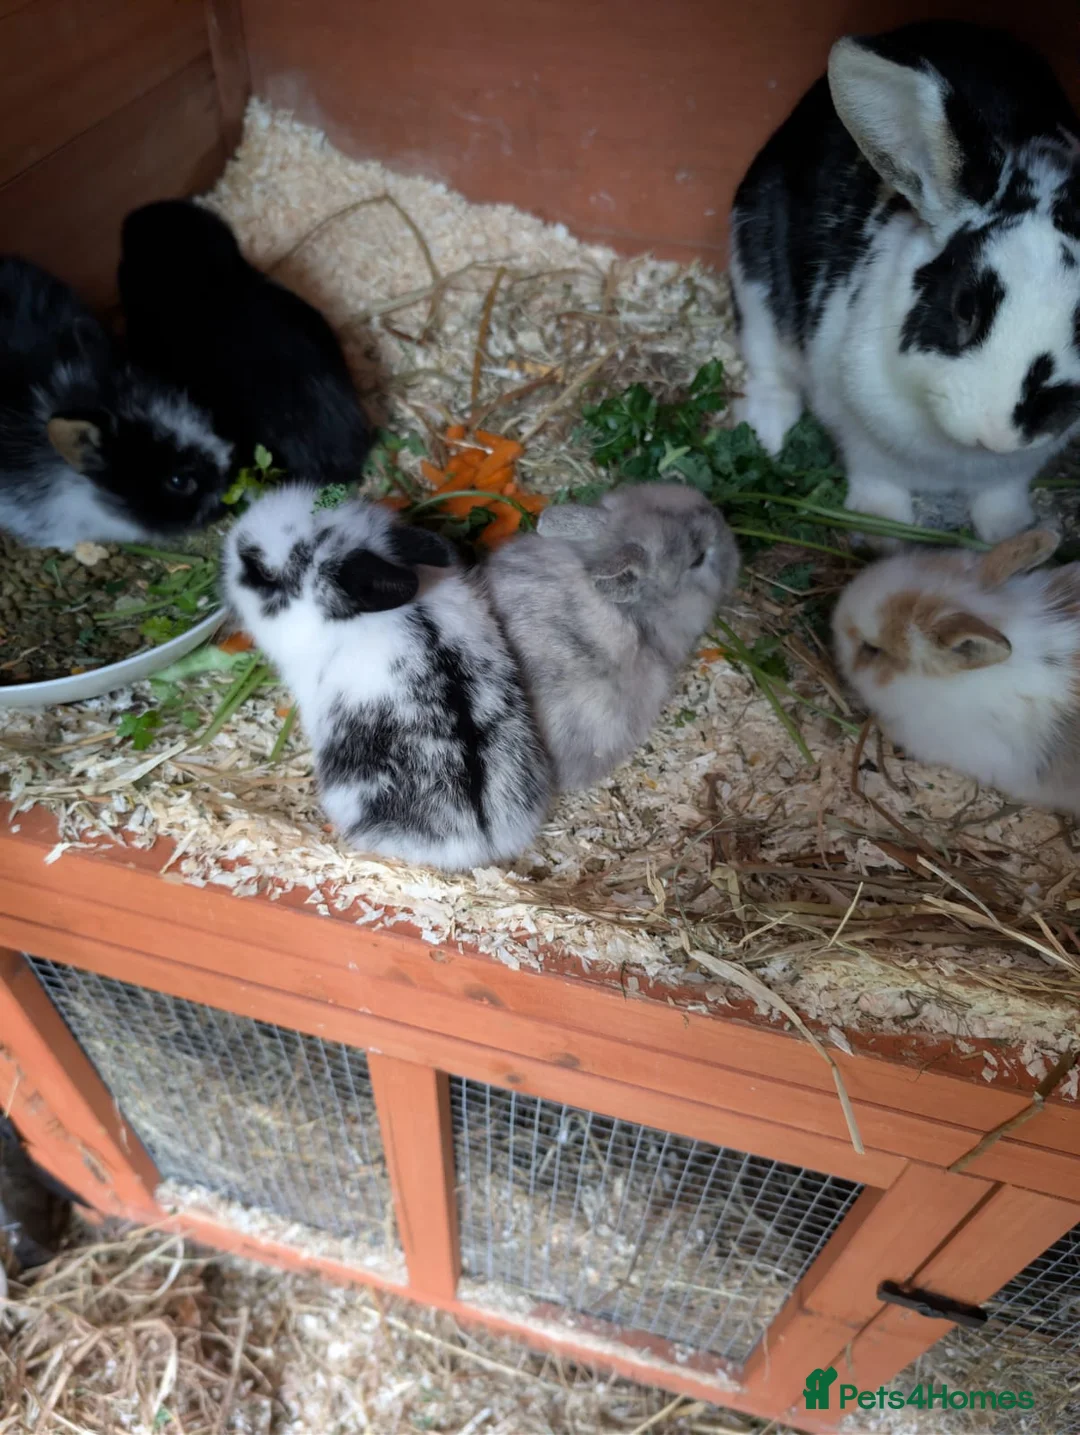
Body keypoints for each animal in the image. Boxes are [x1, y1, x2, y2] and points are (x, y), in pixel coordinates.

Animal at [730, 20, 1080, 544]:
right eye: (963, 308)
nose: (998, 432)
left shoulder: (1016, 469)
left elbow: (1001, 495)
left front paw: (1010, 533)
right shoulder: (858, 428)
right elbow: (878, 478)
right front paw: (882, 530)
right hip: (752, 270)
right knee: (768, 364)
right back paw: (768, 433)